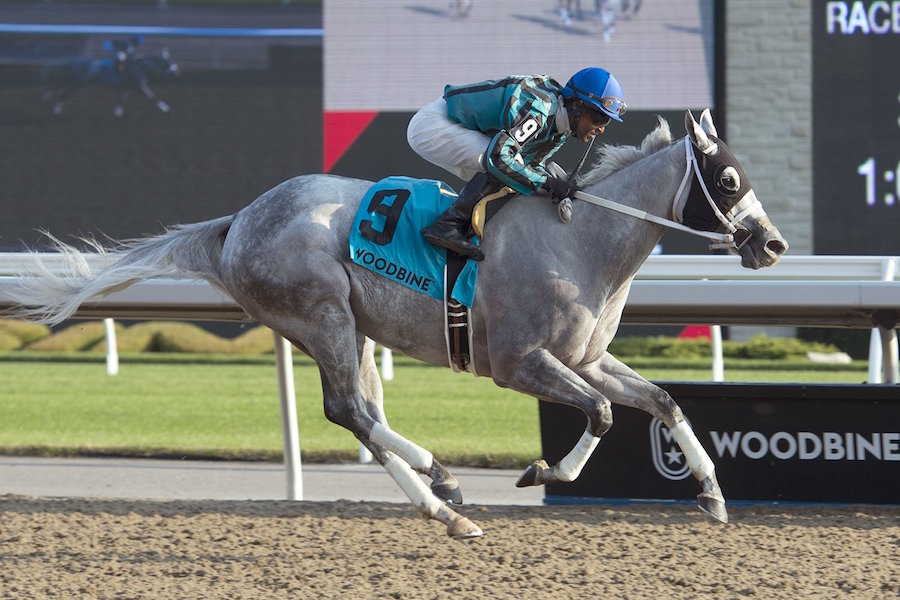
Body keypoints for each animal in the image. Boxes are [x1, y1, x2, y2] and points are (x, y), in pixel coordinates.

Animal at [6, 110, 788, 538]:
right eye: (727, 180)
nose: (774, 244)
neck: (581, 236)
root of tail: (238, 221)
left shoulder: (587, 358)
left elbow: (661, 400)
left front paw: (713, 495)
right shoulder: (521, 363)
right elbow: (598, 414)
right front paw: (541, 470)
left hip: (348, 328)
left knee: (360, 414)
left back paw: (446, 505)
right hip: (321, 313)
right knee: (349, 409)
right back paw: (442, 481)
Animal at [41, 48, 179, 117]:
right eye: (169, 60)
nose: (176, 71)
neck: (139, 65)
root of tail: (75, 62)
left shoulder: (128, 87)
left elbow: (122, 99)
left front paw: (118, 112)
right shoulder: (140, 86)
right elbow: (152, 97)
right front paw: (166, 108)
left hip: (75, 81)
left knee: (60, 87)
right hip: (78, 83)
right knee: (63, 93)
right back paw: (57, 109)